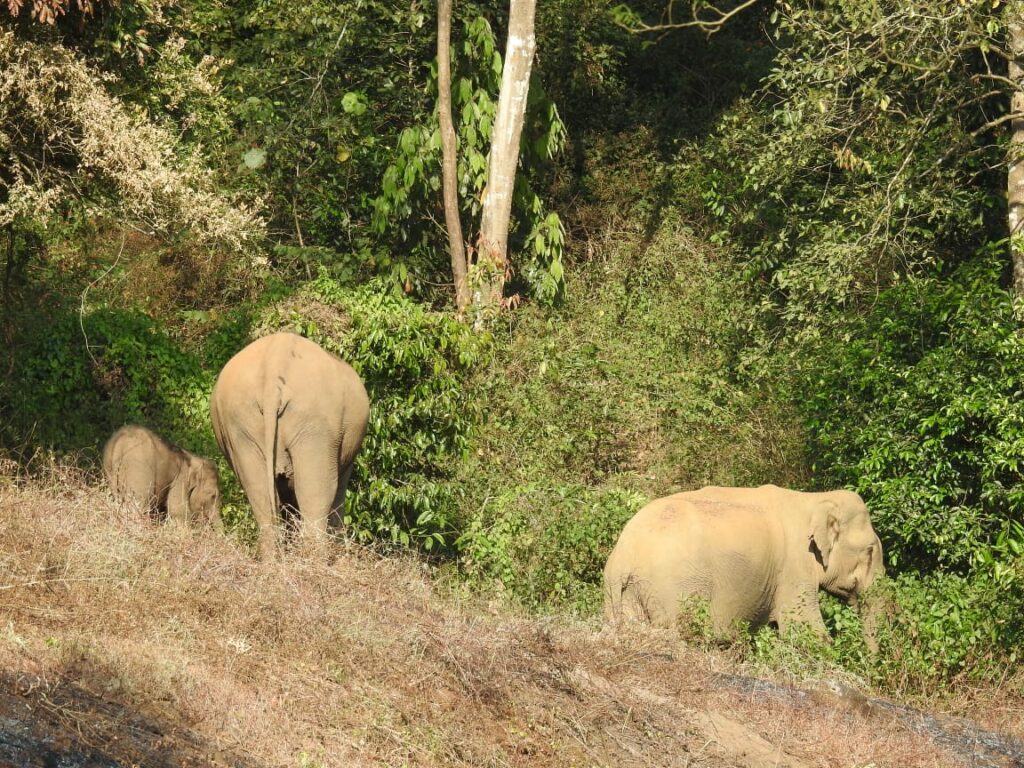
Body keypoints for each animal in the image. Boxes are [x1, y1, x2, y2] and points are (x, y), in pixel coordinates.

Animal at [209, 331, 370, 561]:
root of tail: (275, 364)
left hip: (238, 423)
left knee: (259, 493)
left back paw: (273, 564)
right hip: (317, 424)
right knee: (316, 494)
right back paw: (315, 564)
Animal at [602, 487, 884, 643]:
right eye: (870, 551)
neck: (815, 499)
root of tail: (624, 555)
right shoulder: (795, 565)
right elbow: (805, 631)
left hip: (624, 593)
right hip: (674, 587)